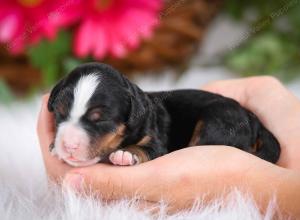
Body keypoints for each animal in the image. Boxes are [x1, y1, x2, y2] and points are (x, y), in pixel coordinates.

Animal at [47, 62, 282, 167]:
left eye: (100, 119)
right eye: (59, 113)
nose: (68, 145)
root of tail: (253, 119)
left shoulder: (156, 140)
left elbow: (145, 148)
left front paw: (127, 154)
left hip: (217, 121)